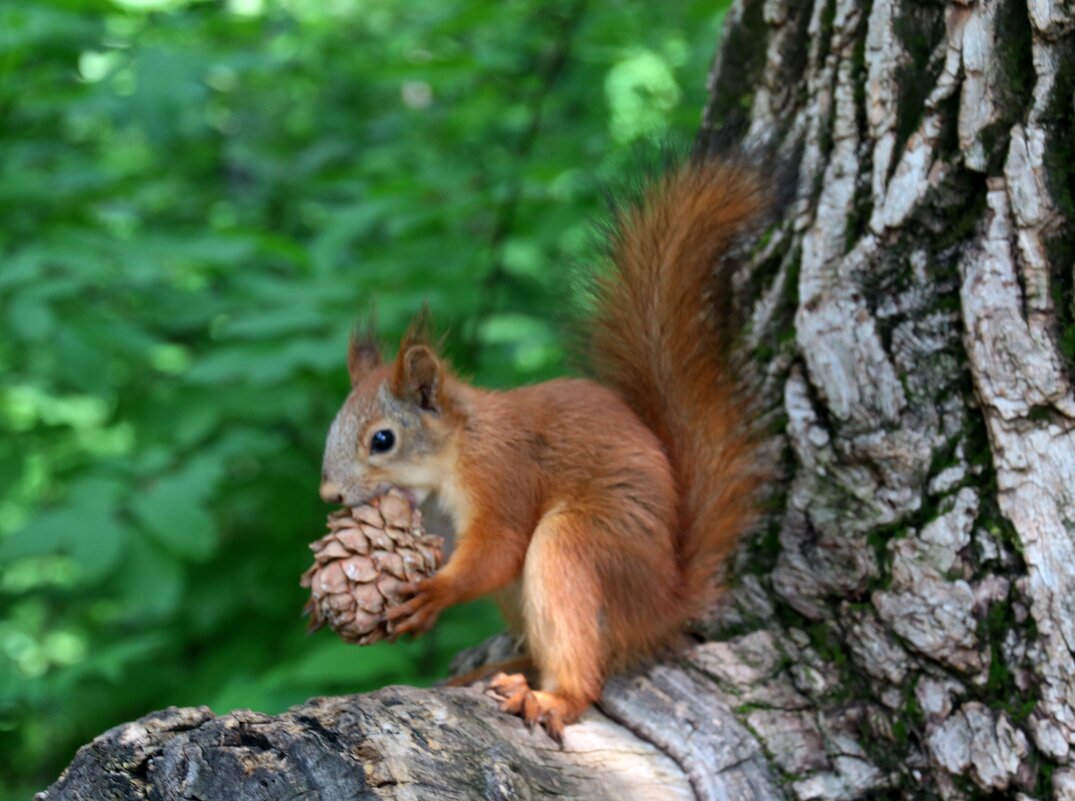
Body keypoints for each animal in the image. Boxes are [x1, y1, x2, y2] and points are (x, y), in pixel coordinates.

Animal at [318, 154, 774, 744]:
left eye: (382, 440)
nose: (329, 495)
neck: (454, 457)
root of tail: (663, 606)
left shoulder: (503, 474)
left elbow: (500, 547)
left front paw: (436, 593)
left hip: (579, 546)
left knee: (582, 663)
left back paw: (549, 697)